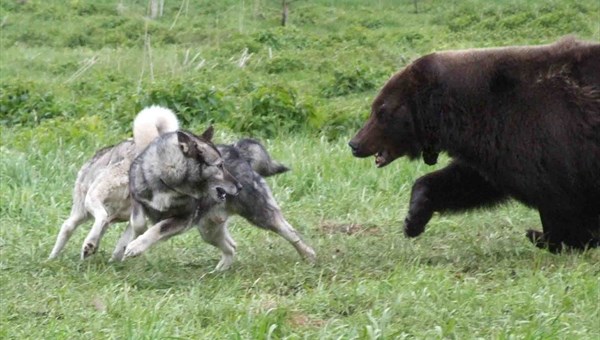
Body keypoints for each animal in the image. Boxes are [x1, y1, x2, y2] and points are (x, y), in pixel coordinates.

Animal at [346, 37, 600, 252]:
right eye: (375, 108)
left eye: (381, 111)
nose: (354, 143)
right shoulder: (496, 148)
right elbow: (467, 181)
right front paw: (413, 219)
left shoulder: (543, 134)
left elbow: (558, 198)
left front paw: (550, 237)